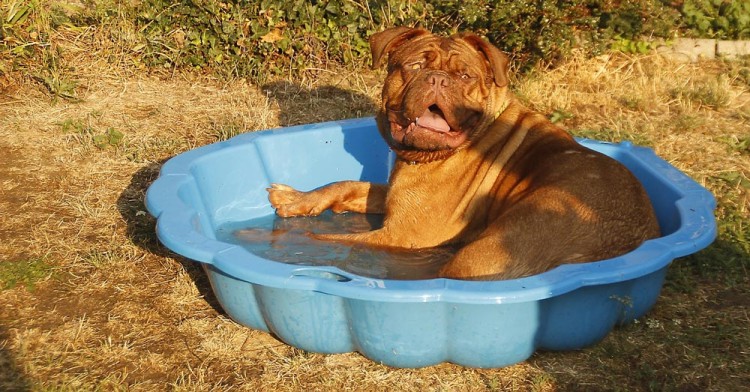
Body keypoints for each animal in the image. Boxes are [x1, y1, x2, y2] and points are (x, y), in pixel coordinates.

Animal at [268, 26, 660, 278]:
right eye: (414, 66)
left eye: (465, 76)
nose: (438, 79)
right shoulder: (395, 196)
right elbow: (345, 184)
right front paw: (295, 198)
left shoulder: (403, 236)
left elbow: (328, 237)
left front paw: (298, 240)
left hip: (482, 254)